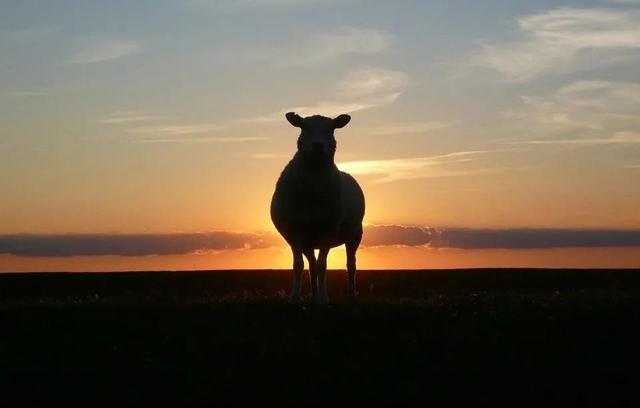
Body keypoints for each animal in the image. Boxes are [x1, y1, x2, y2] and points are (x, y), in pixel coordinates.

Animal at [268, 111, 362, 302]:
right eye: (303, 127)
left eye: (332, 128)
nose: (317, 146)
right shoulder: (294, 231)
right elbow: (298, 265)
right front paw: (295, 297)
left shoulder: (329, 229)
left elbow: (322, 265)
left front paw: (323, 299)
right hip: (308, 240)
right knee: (311, 264)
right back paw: (312, 295)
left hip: (355, 234)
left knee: (351, 265)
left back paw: (351, 295)